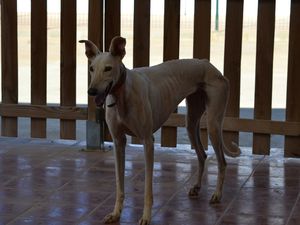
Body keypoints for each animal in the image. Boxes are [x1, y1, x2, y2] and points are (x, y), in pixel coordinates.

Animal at [80, 36, 241, 224]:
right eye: (91, 68)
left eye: (108, 68)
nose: (91, 91)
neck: (122, 95)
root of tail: (208, 65)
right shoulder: (118, 142)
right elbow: (119, 184)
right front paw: (115, 213)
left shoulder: (147, 141)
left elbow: (148, 187)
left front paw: (146, 217)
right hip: (191, 123)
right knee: (202, 155)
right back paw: (196, 187)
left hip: (213, 124)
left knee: (222, 162)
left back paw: (217, 195)